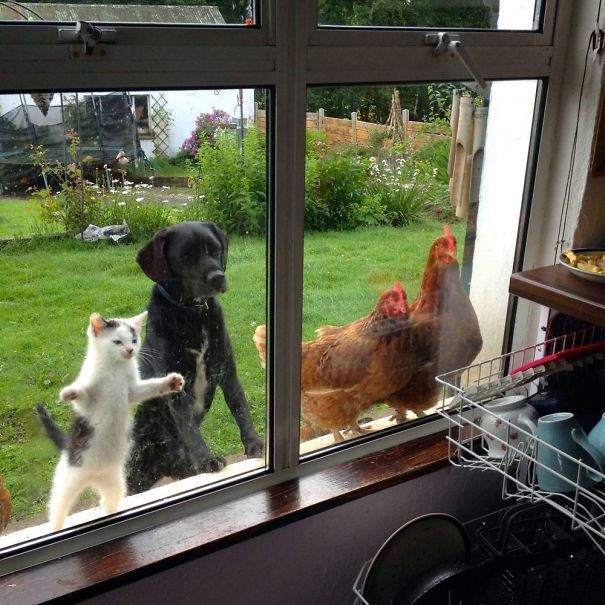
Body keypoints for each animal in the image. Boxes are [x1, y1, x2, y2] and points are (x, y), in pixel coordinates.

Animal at [34, 312, 182, 528]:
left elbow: (147, 389)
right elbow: (82, 395)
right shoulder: (88, 400)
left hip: (115, 483)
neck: (115, 369)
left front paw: (170, 382)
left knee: (107, 500)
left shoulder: (132, 391)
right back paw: (56, 527)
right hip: (67, 480)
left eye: (134, 340)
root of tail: (93, 477)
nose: (130, 350)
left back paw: (112, 513)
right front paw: (70, 392)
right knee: (58, 509)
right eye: (117, 341)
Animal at [127, 219, 262, 494]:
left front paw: (254, 444)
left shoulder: (227, 371)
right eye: (186, 256)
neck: (193, 313)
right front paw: (207, 460)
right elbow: (188, 426)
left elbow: (240, 408)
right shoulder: (175, 386)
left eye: (215, 249)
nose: (217, 277)